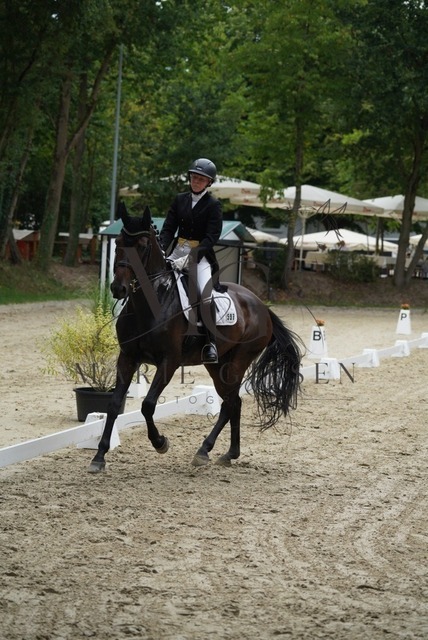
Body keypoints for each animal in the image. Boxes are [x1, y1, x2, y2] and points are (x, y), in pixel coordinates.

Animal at [88, 203, 303, 473]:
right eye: (117, 242)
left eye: (143, 245)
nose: (119, 288)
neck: (152, 302)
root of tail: (262, 306)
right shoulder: (127, 357)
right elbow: (114, 404)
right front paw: (99, 456)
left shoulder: (169, 362)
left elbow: (148, 405)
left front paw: (160, 443)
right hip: (217, 364)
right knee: (233, 403)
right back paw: (225, 453)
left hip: (237, 362)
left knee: (230, 403)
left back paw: (207, 450)